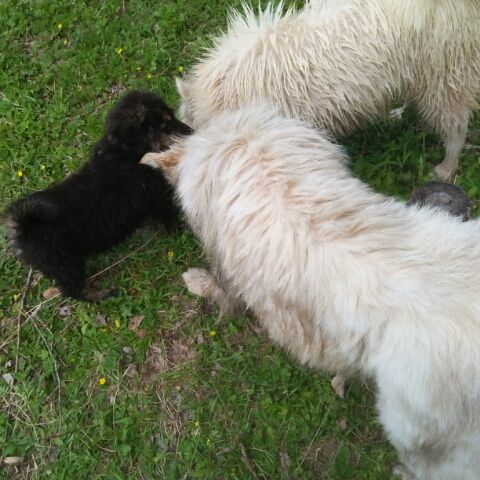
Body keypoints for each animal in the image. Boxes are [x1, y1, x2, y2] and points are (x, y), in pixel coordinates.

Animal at [4, 91, 192, 301]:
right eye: (166, 125)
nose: (191, 131)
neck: (124, 153)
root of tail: (22, 228)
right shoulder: (158, 197)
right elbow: (170, 218)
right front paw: (180, 231)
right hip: (66, 264)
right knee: (73, 291)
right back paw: (101, 294)